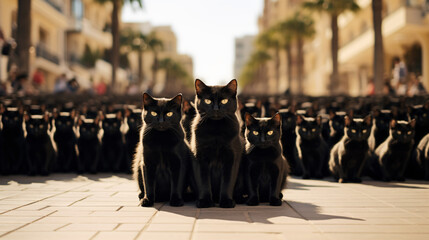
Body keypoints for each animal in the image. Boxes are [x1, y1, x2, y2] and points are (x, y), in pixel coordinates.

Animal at [191, 79, 244, 208]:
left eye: (224, 101)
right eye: (208, 101)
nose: (215, 108)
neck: (216, 130)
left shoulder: (231, 158)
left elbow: (227, 182)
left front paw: (226, 201)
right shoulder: (200, 158)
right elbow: (204, 182)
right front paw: (204, 201)